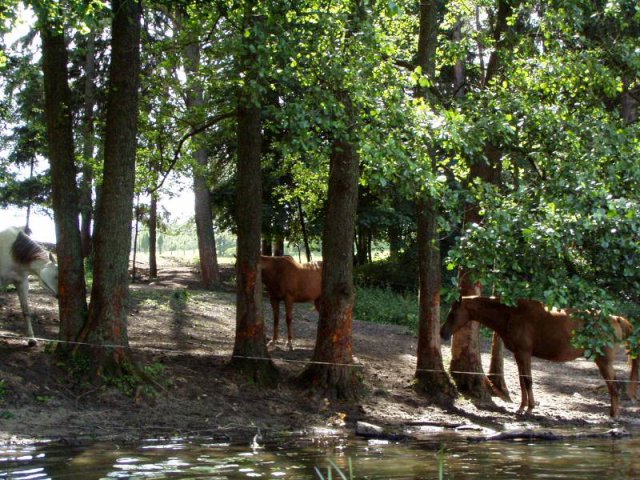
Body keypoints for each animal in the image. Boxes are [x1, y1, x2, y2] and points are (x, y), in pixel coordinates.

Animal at [442, 296, 636, 416]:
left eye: (452, 313)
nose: (442, 332)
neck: (512, 315)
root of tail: (615, 318)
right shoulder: (519, 355)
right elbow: (522, 381)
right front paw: (521, 408)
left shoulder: (524, 353)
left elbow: (527, 381)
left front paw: (529, 408)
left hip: (603, 361)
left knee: (614, 386)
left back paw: (614, 416)